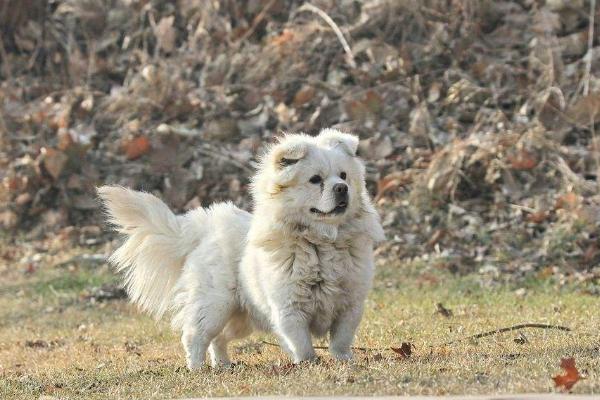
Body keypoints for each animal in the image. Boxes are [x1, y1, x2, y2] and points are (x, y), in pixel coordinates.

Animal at [96, 128, 382, 368]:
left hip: (240, 318)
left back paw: (223, 365)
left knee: (219, 339)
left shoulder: (350, 305)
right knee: (195, 336)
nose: (342, 188)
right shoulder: (289, 309)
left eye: (344, 176)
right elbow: (302, 344)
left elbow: (341, 340)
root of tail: (205, 229)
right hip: (214, 307)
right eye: (315, 179)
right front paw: (309, 364)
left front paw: (344, 361)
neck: (322, 241)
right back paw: (197, 369)